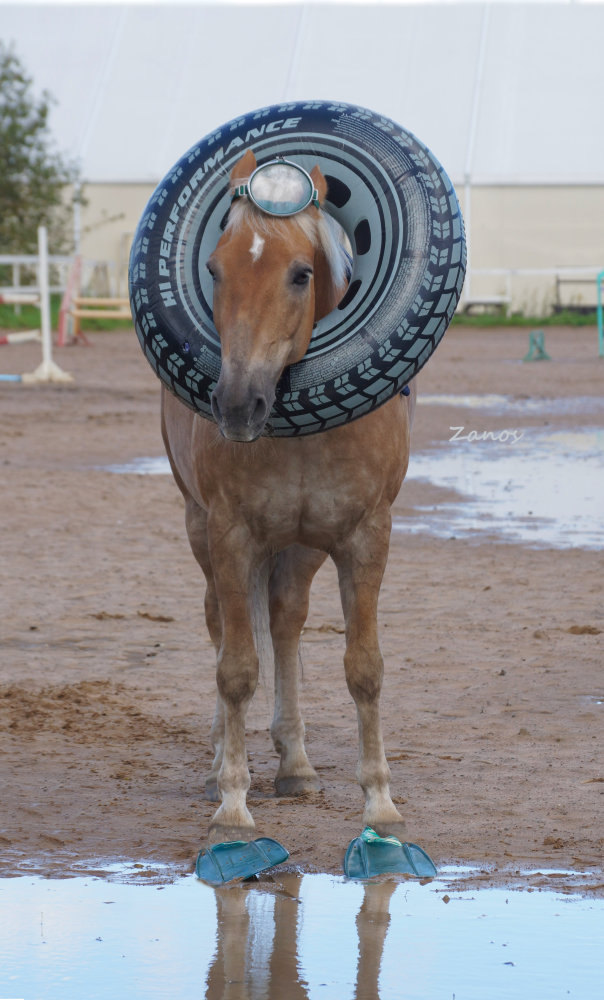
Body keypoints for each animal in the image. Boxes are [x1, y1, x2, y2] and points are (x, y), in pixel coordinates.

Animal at [160, 145, 416, 840]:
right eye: (214, 270)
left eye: (302, 274)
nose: (235, 405)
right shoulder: (231, 535)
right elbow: (236, 669)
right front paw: (232, 802)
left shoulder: (365, 537)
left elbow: (365, 668)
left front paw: (380, 801)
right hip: (201, 529)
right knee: (223, 624)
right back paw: (223, 759)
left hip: (301, 548)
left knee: (286, 619)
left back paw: (295, 764)